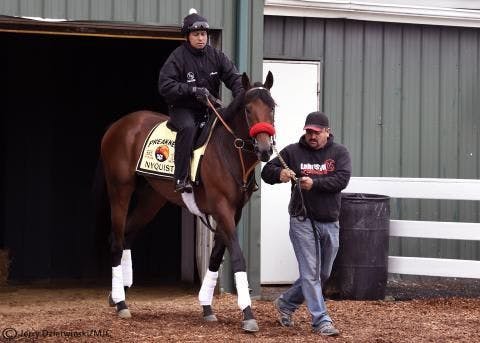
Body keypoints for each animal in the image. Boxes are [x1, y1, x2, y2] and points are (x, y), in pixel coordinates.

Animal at [96, 72, 276, 334]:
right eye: (249, 109)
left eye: (272, 108)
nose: (264, 149)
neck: (229, 150)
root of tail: (118, 126)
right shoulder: (222, 209)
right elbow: (237, 256)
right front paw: (248, 313)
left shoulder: (234, 212)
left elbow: (215, 257)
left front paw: (207, 307)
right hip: (120, 190)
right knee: (117, 239)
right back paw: (121, 303)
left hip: (152, 198)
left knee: (128, 235)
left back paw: (118, 292)